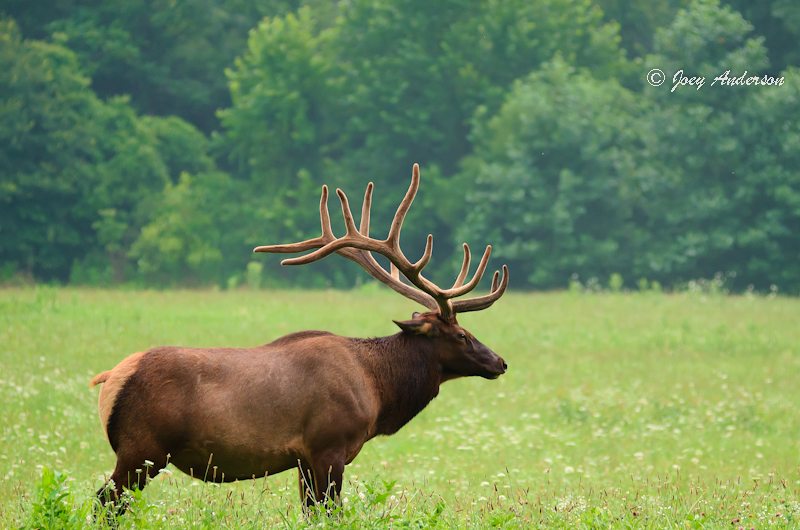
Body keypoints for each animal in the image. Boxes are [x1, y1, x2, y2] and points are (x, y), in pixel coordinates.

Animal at [90, 163, 509, 512]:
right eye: (462, 334)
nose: (501, 362)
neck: (377, 388)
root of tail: (109, 378)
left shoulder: (303, 459)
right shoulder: (329, 446)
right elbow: (329, 512)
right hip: (142, 448)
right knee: (104, 501)